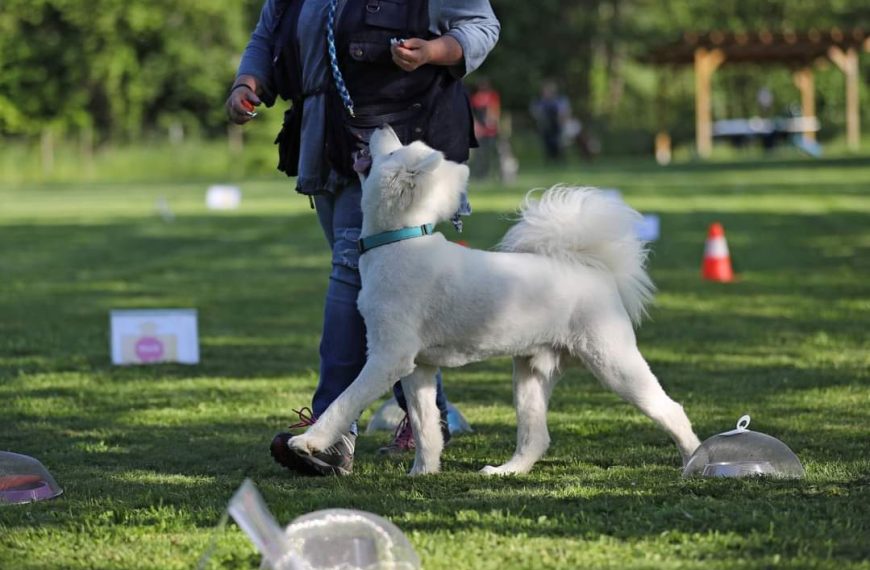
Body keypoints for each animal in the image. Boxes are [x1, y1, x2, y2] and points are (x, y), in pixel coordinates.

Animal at [290, 125, 704, 474]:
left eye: (392, 150)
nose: (380, 125)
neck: (399, 239)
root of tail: (596, 270)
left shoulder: (388, 358)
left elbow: (345, 401)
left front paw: (308, 443)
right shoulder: (418, 368)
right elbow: (426, 426)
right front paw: (423, 472)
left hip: (613, 362)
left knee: (671, 409)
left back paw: (694, 461)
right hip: (530, 373)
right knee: (536, 438)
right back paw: (505, 471)